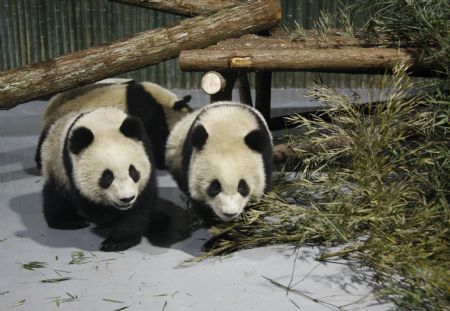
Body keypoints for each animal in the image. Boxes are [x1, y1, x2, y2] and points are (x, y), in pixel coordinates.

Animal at [40, 106, 156, 252]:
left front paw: (117, 242)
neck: (103, 121)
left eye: (133, 172)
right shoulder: (71, 167)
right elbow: (91, 206)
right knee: (55, 195)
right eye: (107, 176)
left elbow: (140, 207)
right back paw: (68, 221)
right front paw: (110, 221)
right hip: (55, 164)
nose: (127, 199)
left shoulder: (146, 152)